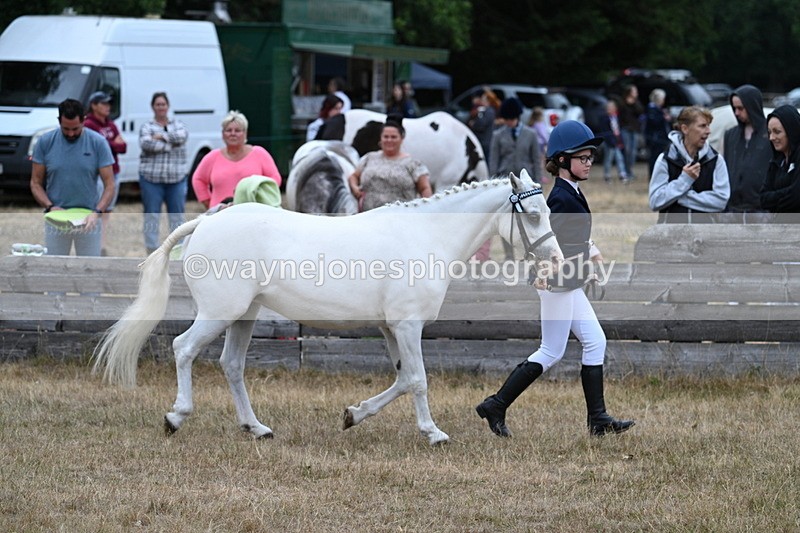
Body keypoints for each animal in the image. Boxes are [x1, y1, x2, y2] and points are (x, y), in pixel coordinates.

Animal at [93, 169, 562, 445]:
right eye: (533, 214)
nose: (556, 260)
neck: (424, 236)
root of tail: (205, 221)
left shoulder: (391, 329)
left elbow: (403, 379)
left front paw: (353, 415)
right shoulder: (407, 326)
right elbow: (418, 380)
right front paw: (433, 433)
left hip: (244, 316)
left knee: (232, 365)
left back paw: (256, 428)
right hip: (219, 313)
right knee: (184, 349)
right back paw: (176, 418)